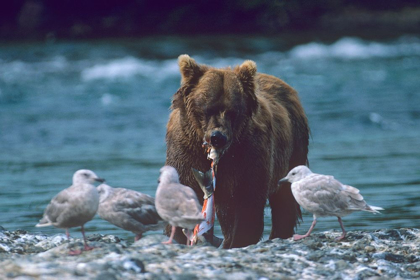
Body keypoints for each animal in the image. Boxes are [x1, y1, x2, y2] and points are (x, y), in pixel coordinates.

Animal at [166, 55, 310, 249]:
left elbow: (248, 198)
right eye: (207, 109)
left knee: (285, 197)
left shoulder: (249, 153)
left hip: (294, 147)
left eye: (232, 111)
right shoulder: (186, 150)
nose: (217, 137)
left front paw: (241, 238)